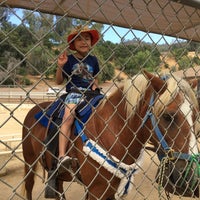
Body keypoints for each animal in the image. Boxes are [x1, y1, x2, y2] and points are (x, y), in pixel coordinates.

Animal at [22, 71, 200, 199]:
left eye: (195, 116)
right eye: (168, 116)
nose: (191, 179)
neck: (110, 131)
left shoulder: (111, 189)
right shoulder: (96, 191)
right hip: (30, 162)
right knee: (29, 185)